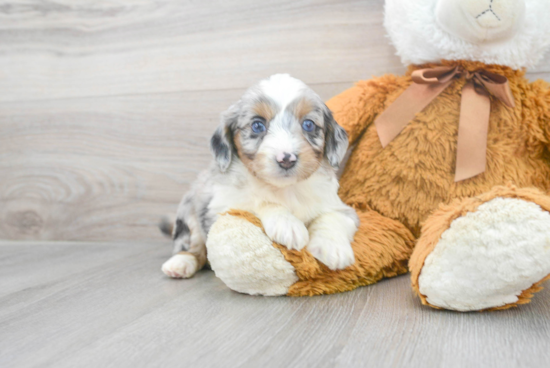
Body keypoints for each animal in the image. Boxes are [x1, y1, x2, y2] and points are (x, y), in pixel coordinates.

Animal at [163, 73, 362, 278]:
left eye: (308, 124)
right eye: (257, 125)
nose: (286, 159)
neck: (285, 189)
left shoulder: (340, 207)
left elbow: (333, 217)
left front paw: (333, 248)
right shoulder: (222, 205)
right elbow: (259, 201)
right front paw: (288, 225)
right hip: (189, 212)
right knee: (191, 245)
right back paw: (180, 263)